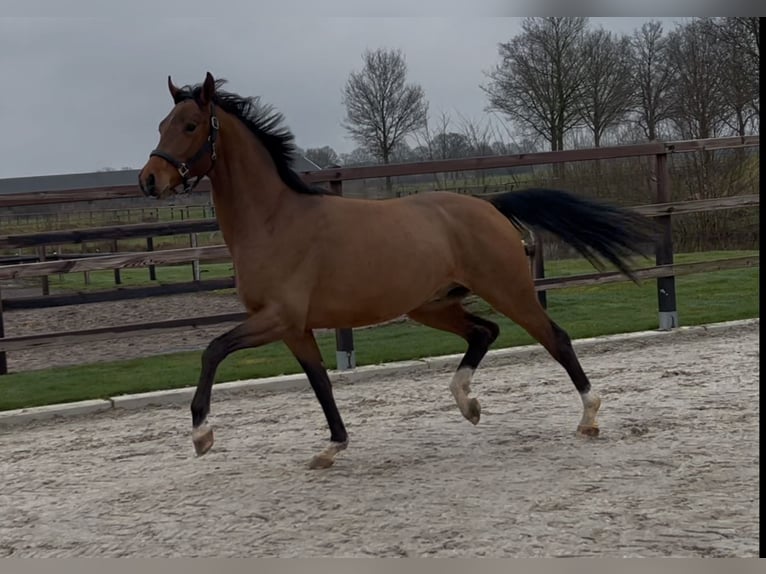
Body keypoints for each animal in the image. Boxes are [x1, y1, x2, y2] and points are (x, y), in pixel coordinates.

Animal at [138, 72, 656, 470]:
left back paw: (588, 417)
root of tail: (488, 204)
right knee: (484, 331)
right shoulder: (294, 328)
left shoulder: (279, 318)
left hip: (508, 289)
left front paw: (202, 435)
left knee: (555, 338)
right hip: (431, 305)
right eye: (160, 124)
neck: (273, 221)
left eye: (189, 125)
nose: (148, 181)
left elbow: (212, 350)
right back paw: (467, 403)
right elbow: (320, 382)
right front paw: (332, 448)